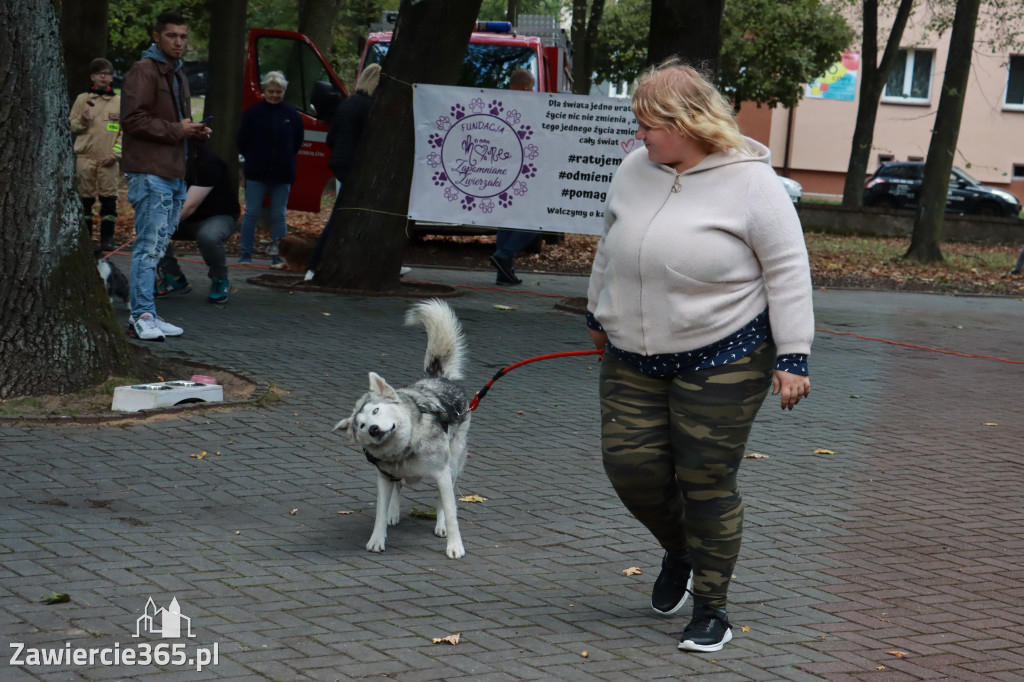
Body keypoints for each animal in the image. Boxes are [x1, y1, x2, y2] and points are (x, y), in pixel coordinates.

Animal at [335, 301, 471, 557]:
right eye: (362, 425)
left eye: (376, 411)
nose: (374, 429)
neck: (406, 450)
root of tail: (436, 378)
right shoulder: (383, 477)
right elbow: (379, 511)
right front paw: (377, 539)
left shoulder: (442, 474)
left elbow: (450, 512)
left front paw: (455, 545)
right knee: (397, 489)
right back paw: (393, 513)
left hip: (454, 464)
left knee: (442, 499)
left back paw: (440, 526)